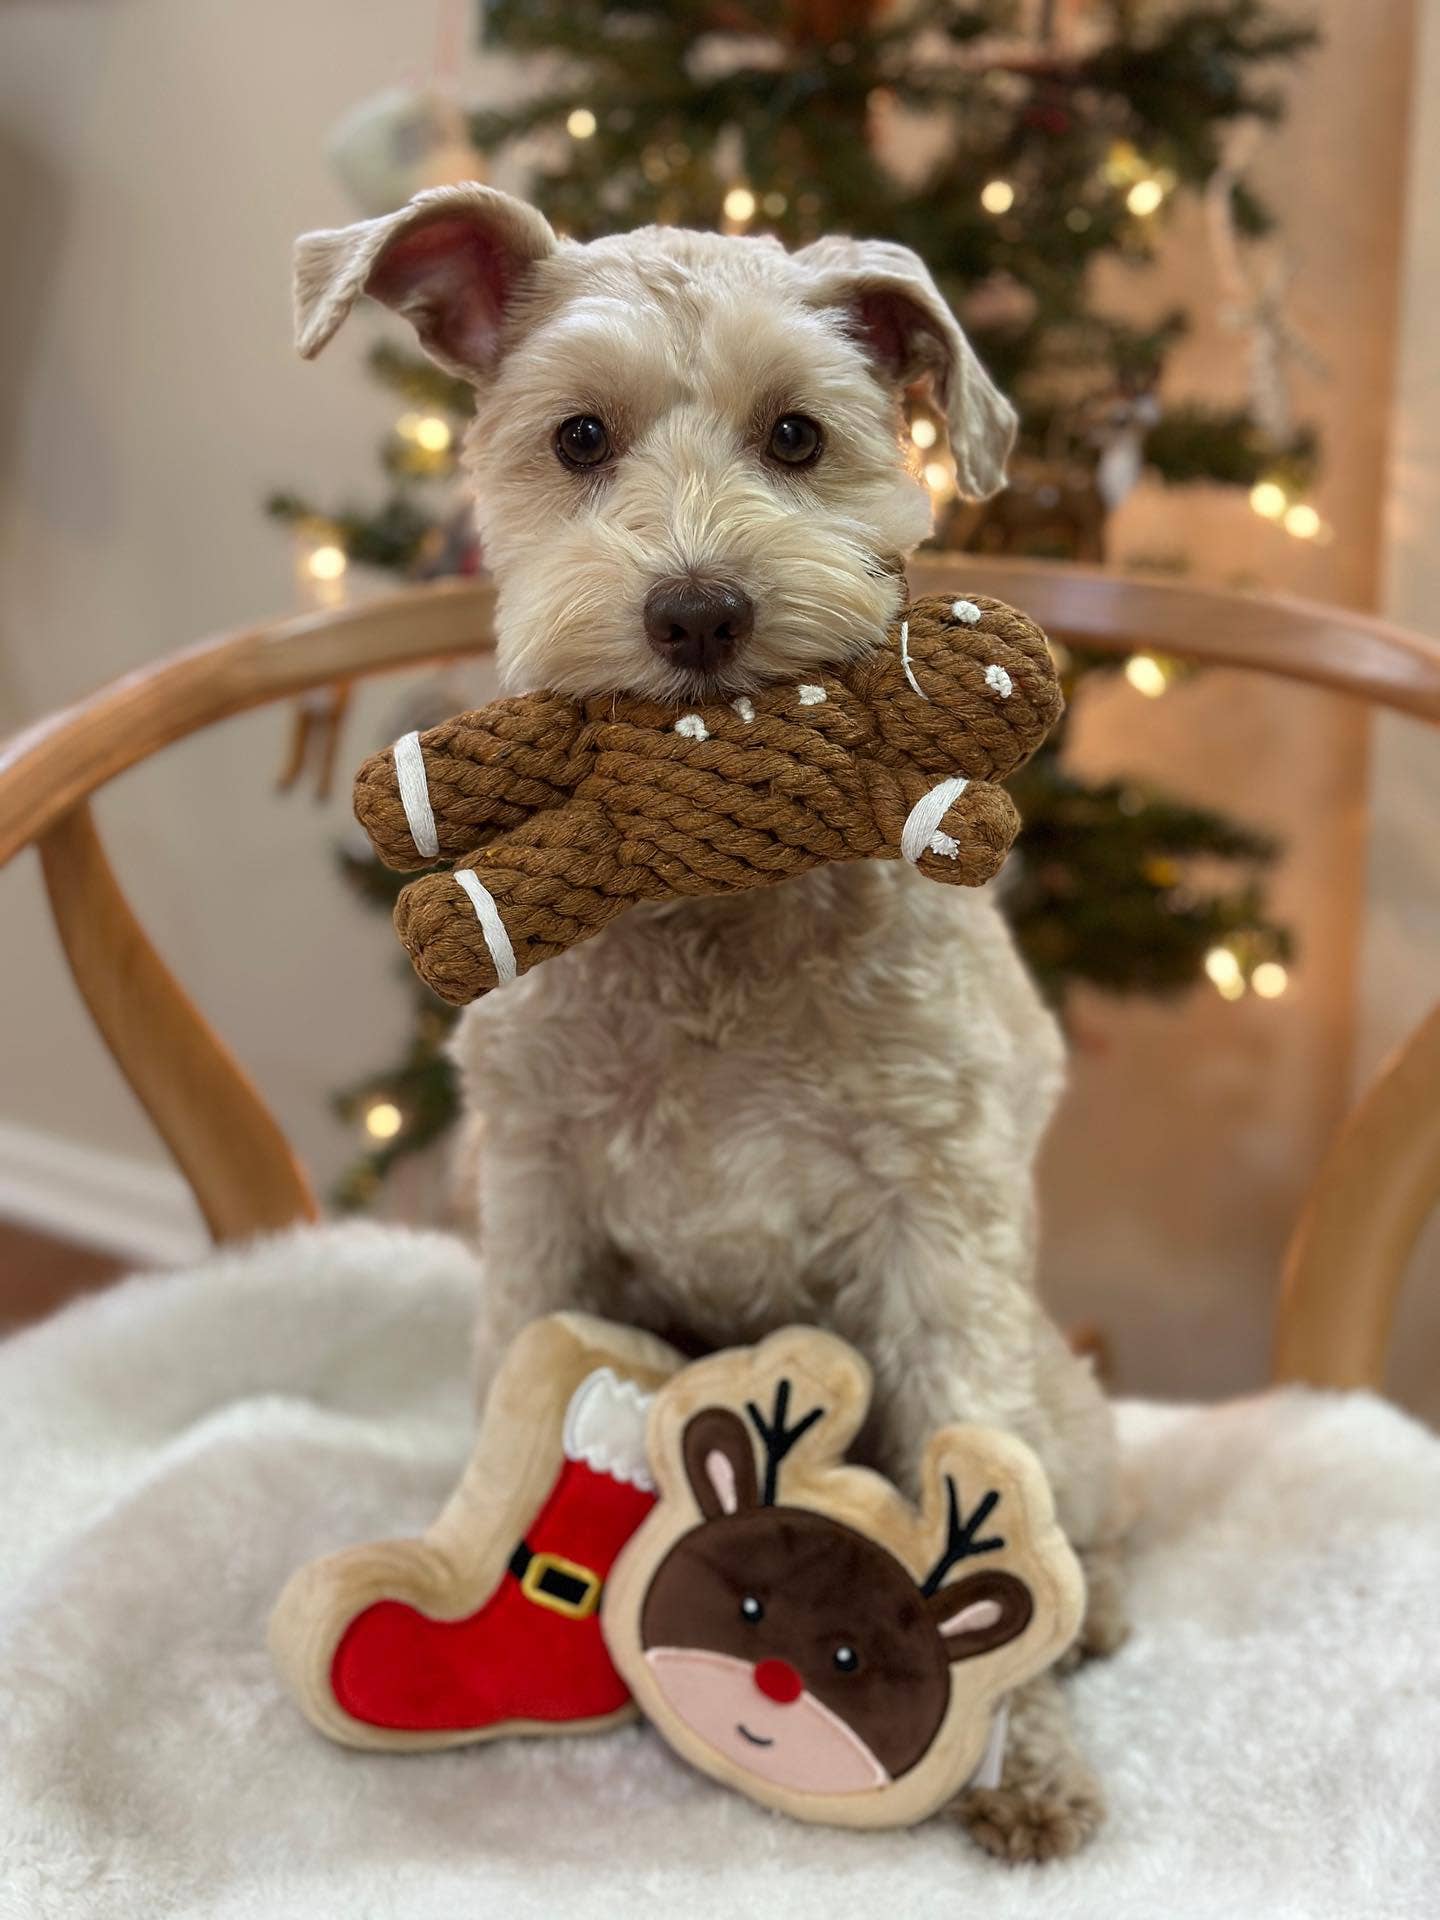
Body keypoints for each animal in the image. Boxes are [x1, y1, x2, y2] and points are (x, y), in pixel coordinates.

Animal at [295, 183, 1128, 1858]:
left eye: (799, 434)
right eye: (577, 437)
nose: (698, 614)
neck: (714, 924)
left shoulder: (936, 1219)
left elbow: (980, 1465)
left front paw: (1024, 1765)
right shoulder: (539, 1189)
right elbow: (510, 1397)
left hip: (1062, 1392)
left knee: (1085, 1507)